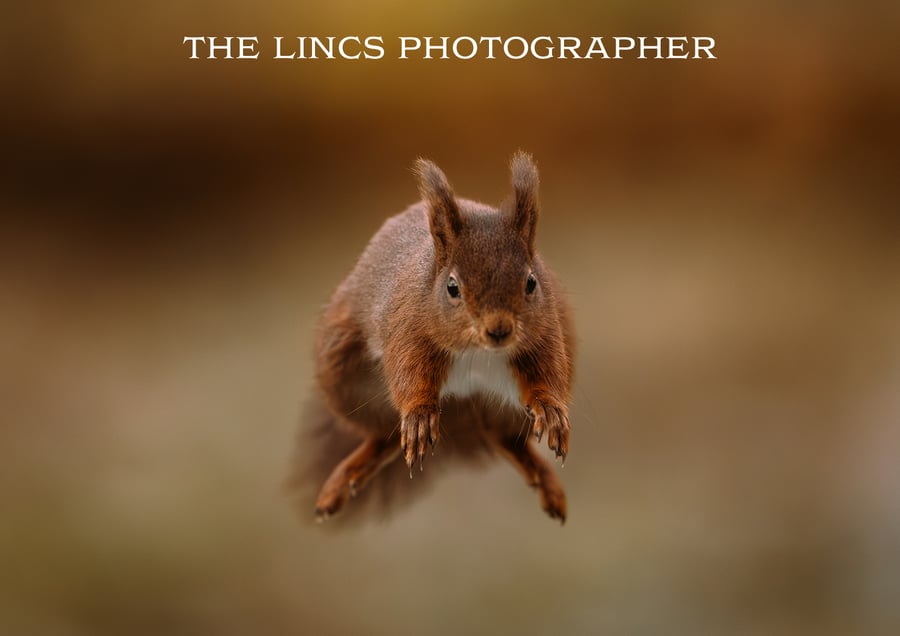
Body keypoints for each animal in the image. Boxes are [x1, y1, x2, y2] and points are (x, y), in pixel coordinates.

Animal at [294, 151, 575, 524]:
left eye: (531, 282)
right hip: (345, 376)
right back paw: (345, 479)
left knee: (505, 439)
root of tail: (461, 411)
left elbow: (548, 371)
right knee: (384, 436)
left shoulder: (545, 333)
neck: (477, 351)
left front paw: (552, 410)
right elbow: (408, 372)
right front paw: (418, 415)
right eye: (452, 287)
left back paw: (545, 481)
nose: (499, 330)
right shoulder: (407, 328)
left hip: (507, 409)